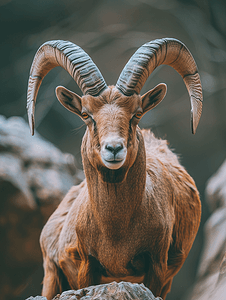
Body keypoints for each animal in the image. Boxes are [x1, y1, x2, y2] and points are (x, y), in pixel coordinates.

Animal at [26, 37, 203, 298]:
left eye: (136, 113)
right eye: (86, 114)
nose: (113, 149)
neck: (117, 233)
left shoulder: (157, 268)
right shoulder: (87, 267)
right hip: (51, 276)